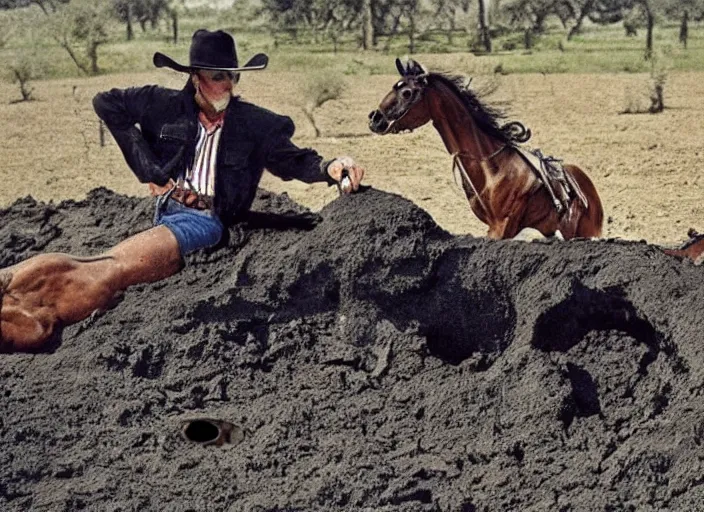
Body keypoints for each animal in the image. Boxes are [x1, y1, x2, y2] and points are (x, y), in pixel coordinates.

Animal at [366, 58, 604, 240]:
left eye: (407, 92)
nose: (375, 118)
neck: (491, 167)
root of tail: (589, 192)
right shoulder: (492, 226)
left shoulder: (503, 225)